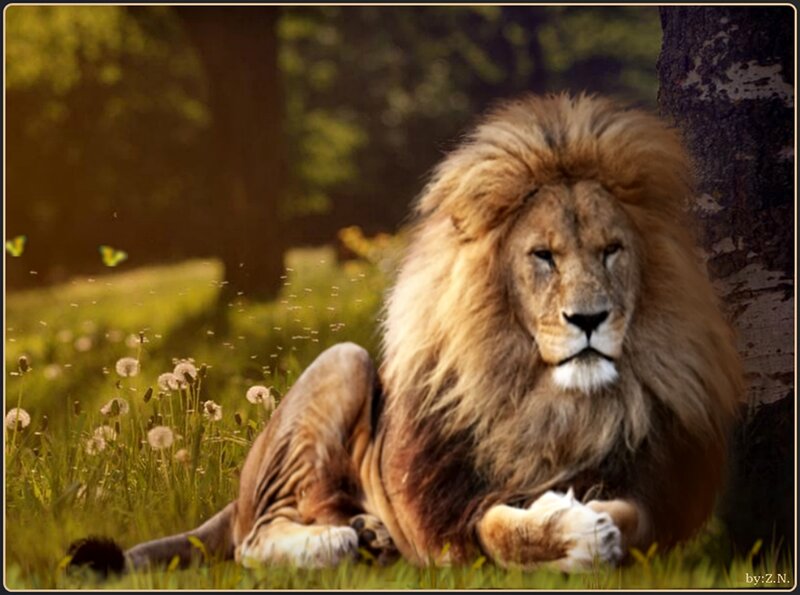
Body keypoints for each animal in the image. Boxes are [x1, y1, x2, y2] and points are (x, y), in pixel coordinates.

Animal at [68, 93, 744, 576]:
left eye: (611, 251)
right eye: (543, 256)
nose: (589, 319)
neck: (556, 406)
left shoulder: (666, 488)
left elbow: (641, 517)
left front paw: (594, 516)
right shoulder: (452, 523)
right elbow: (498, 531)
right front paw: (575, 532)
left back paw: (369, 536)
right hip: (342, 363)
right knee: (253, 543)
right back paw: (339, 541)